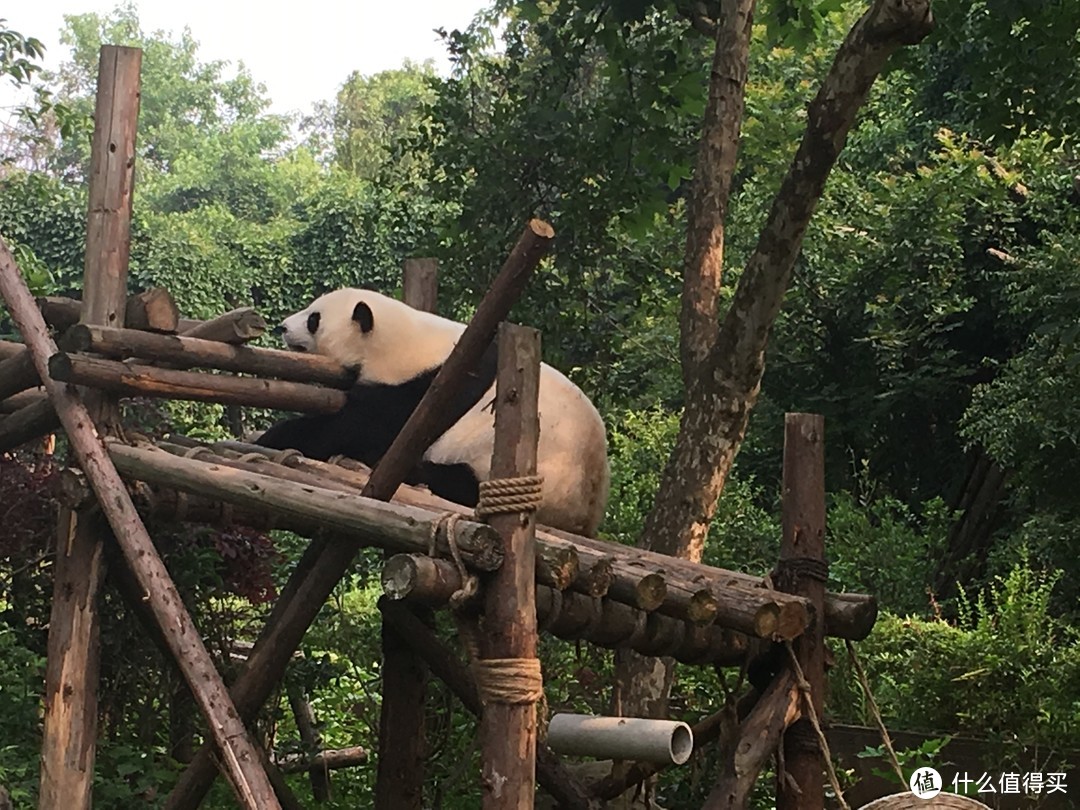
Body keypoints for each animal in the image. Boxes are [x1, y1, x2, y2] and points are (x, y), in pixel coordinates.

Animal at [251, 291, 609, 540]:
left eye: (314, 318)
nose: (282, 326)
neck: (400, 338)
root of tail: (586, 518)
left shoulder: (425, 388)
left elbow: (357, 427)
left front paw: (274, 435)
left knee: (456, 479)